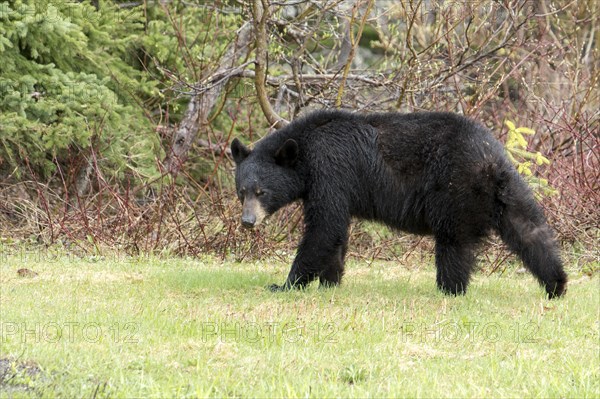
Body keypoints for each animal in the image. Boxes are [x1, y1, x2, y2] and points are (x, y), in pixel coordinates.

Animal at [231, 111, 568, 298]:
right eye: (241, 191)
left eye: (261, 192)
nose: (247, 222)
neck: (306, 149)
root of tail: (491, 158)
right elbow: (335, 233)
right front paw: (330, 281)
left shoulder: (332, 169)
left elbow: (324, 227)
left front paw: (286, 284)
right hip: (507, 192)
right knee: (529, 230)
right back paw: (556, 284)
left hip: (453, 191)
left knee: (453, 244)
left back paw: (450, 289)